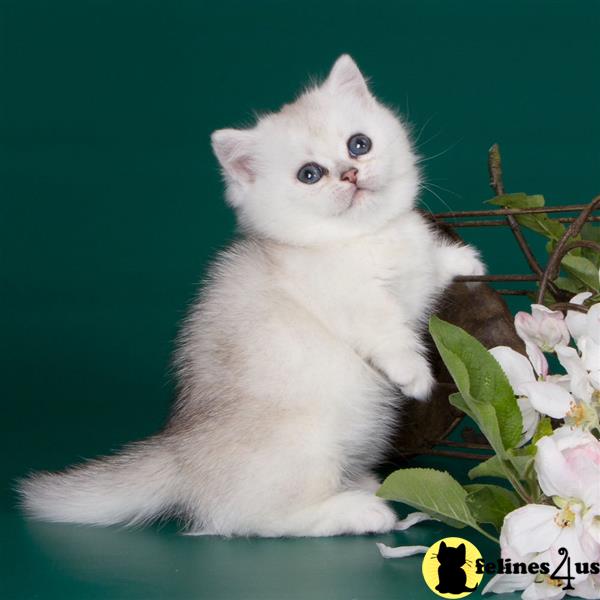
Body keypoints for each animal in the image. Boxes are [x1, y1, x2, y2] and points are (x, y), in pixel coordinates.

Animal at [18, 55, 486, 536]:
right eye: (309, 175)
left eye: (359, 144)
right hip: (307, 442)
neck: (365, 236)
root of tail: (181, 455)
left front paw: (464, 261)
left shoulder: (411, 283)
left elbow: (427, 272)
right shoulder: (354, 304)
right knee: (254, 518)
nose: (350, 172)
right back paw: (358, 510)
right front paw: (415, 375)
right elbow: (388, 331)